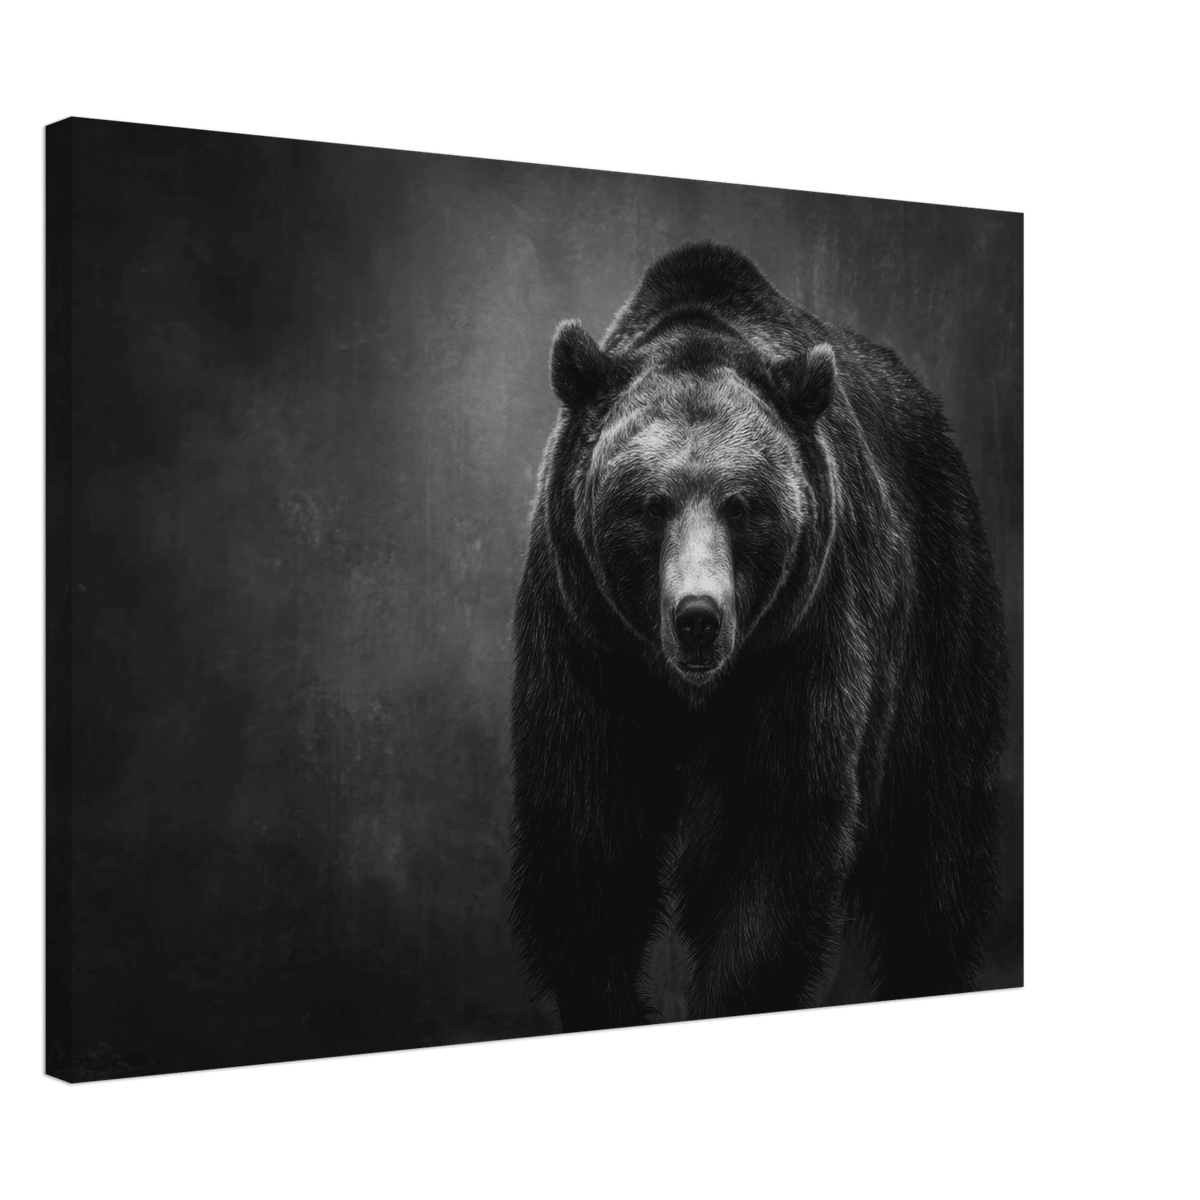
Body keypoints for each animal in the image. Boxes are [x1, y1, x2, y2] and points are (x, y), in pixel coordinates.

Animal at [508, 242, 1007, 1034]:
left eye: (741, 504)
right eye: (651, 504)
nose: (697, 616)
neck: (690, 689)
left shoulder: (800, 640)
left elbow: (773, 837)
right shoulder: (586, 640)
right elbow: (587, 831)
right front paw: (608, 999)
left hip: (941, 614)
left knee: (936, 846)